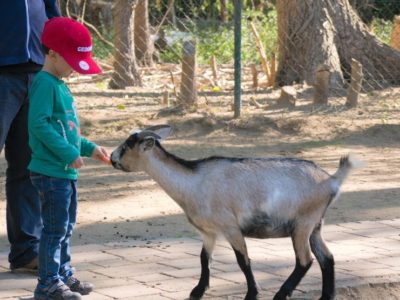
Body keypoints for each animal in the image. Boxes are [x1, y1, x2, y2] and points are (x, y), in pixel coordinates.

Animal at [110, 125, 360, 300]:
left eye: (128, 144)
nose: (112, 158)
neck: (194, 181)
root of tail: (331, 180)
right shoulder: (208, 232)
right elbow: (204, 259)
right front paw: (197, 291)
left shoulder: (230, 227)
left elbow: (243, 260)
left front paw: (252, 294)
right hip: (316, 225)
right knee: (327, 257)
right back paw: (326, 296)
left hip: (302, 224)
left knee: (305, 260)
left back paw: (281, 294)